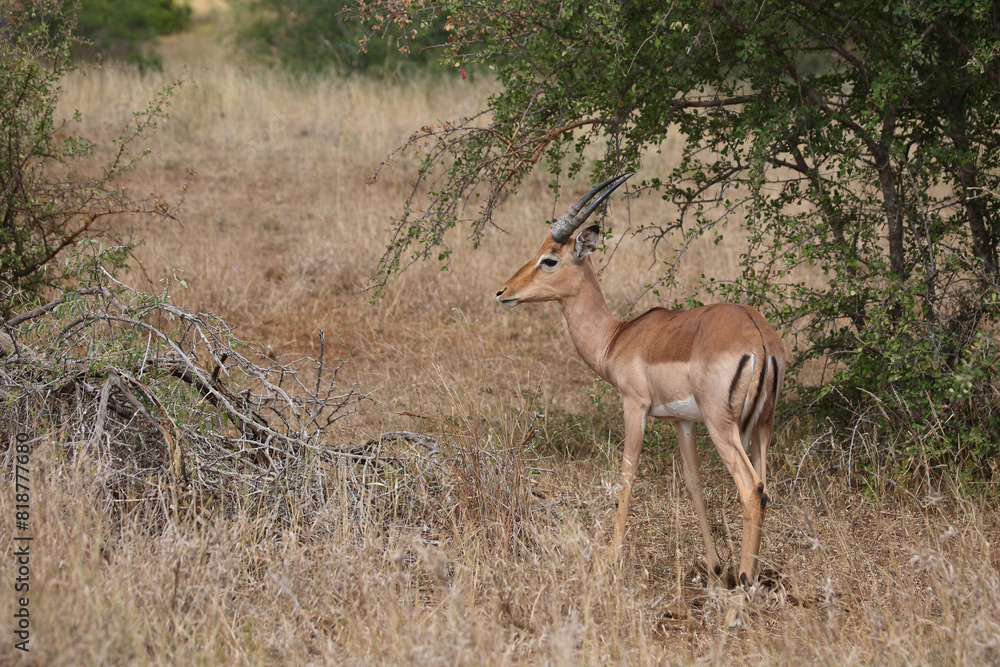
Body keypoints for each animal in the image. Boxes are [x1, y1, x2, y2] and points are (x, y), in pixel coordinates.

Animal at [496, 174, 785, 586]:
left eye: (549, 259)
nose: (503, 292)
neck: (617, 337)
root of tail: (759, 336)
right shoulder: (682, 421)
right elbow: (693, 482)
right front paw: (714, 565)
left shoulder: (634, 406)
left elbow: (627, 475)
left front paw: (609, 558)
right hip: (763, 425)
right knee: (765, 490)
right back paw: (752, 574)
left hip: (723, 426)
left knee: (751, 489)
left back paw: (744, 581)